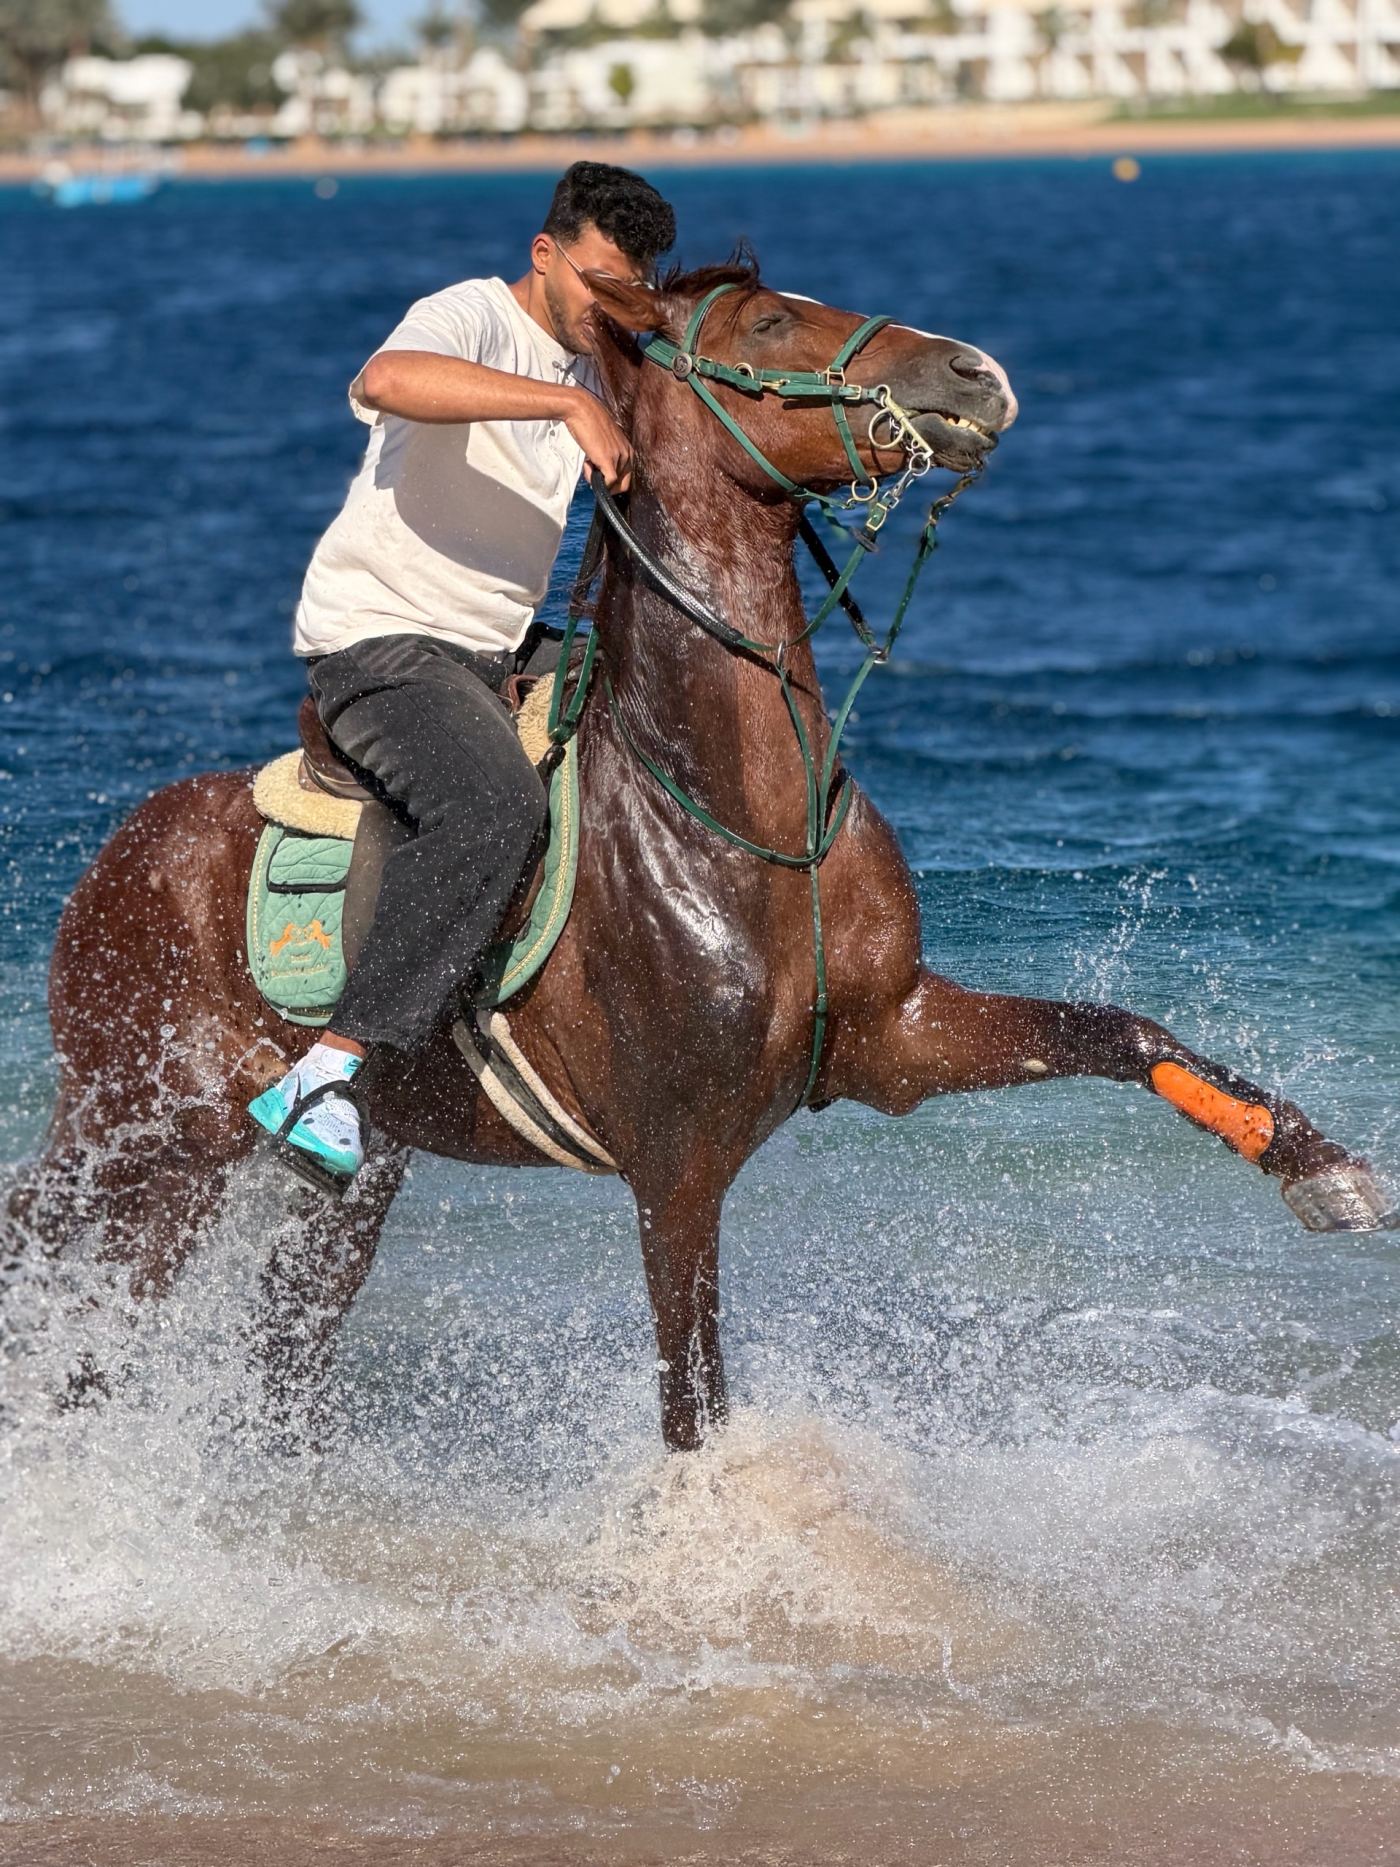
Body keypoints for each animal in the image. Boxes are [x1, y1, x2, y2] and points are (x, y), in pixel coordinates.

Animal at [11, 258, 1394, 1452]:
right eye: (770, 322)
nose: (977, 372)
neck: (735, 818)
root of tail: (119, 851)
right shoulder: (675, 1173)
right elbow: (694, 1407)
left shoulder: (893, 1040)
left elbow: (1119, 1030)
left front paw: (1315, 1165)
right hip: (142, 1131)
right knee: (59, 1254)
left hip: (335, 1173)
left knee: (264, 1348)